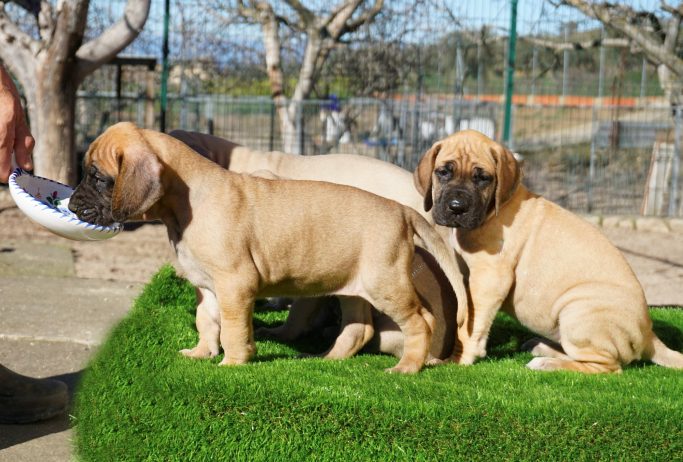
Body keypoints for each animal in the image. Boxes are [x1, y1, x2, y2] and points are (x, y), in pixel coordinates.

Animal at [69, 123, 468, 376]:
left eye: (98, 177)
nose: (72, 205)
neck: (186, 202)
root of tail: (402, 210)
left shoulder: (235, 284)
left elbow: (232, 328)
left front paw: (233, 362)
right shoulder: (208, 287)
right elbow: (206, 321)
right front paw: (201, 353)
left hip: (386, 285)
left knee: (421, 321)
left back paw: (407, 367)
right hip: (353, 287)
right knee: (360, 328)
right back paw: (327, 358)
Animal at [412, 129, 683, 372]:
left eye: (483, 178)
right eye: (443, 172)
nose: (457, 207)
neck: (493, 210)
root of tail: (648, 333)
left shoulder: (489, 277)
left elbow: (470, 323)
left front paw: (458, 358)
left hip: (577, 311)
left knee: (605, 366)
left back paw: (548, 363)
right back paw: (543, 348)